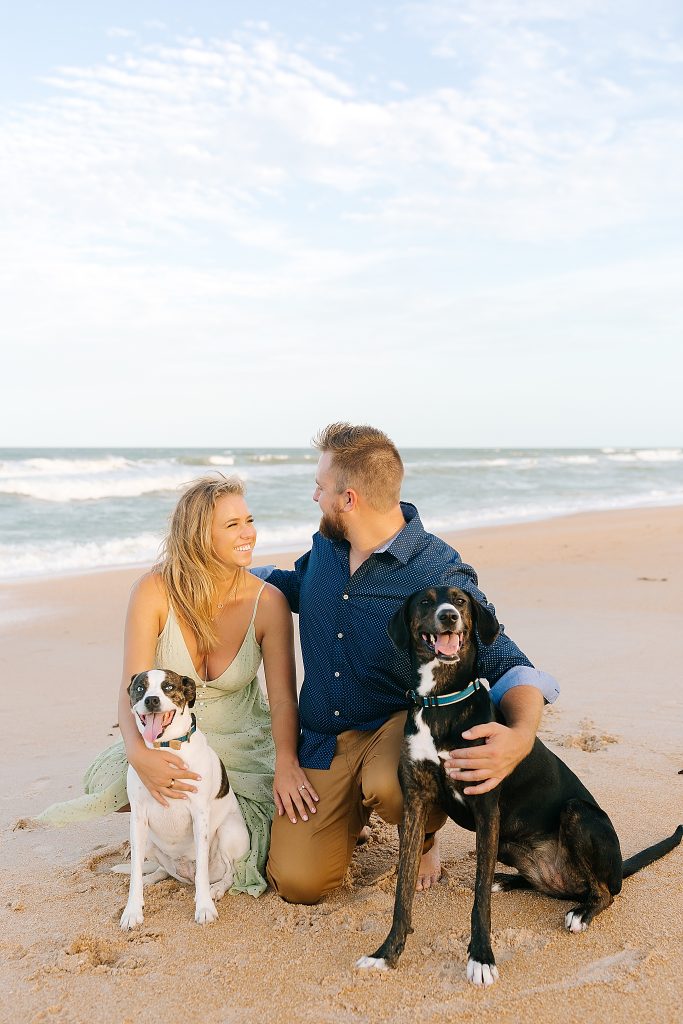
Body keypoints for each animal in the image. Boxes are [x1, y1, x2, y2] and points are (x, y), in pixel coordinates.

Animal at [118, 667, 249, 933]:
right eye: (140, 688)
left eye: (168, 687)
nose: (151, 700)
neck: (165, 747)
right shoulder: (138, 818)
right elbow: (135, 872)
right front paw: (132, 910)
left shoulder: (199, 815)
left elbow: (202, 872)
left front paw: (205, 907)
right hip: (147, 840)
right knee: (161, 870)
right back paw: (151, 878)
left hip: (229, 833)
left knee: (228, 873)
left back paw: (215, 890)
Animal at [356, 593, 679, 983]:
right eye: (426, 602)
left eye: (460, 601)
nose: (449, 616)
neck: (442, 700)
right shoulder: (416, 804)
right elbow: (403, 892)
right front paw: (386, 953)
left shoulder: (485, 807)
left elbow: (480, 901)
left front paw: (481, 957)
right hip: (507, 843)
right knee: (551, 885)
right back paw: (509, 881)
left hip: (575, 813)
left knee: (603, 893)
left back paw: (581, 911)